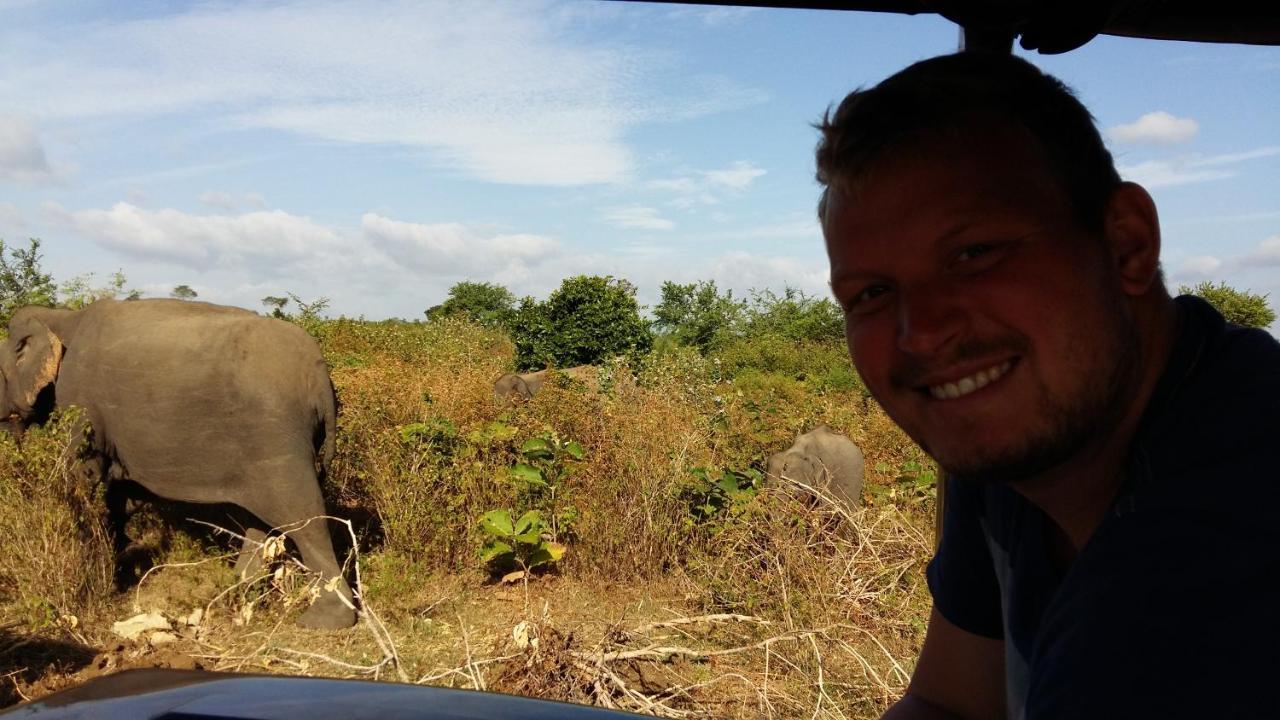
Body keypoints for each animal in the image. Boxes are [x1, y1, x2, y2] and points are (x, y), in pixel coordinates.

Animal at [0, 297, 355, 627]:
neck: (61, 316)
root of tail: (321, 377)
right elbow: (118, 494)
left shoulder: (78, 400)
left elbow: (83, 476)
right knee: (264, 518)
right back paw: (235, 593)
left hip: (276, 436)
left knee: (304, 516)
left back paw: (323, 620)